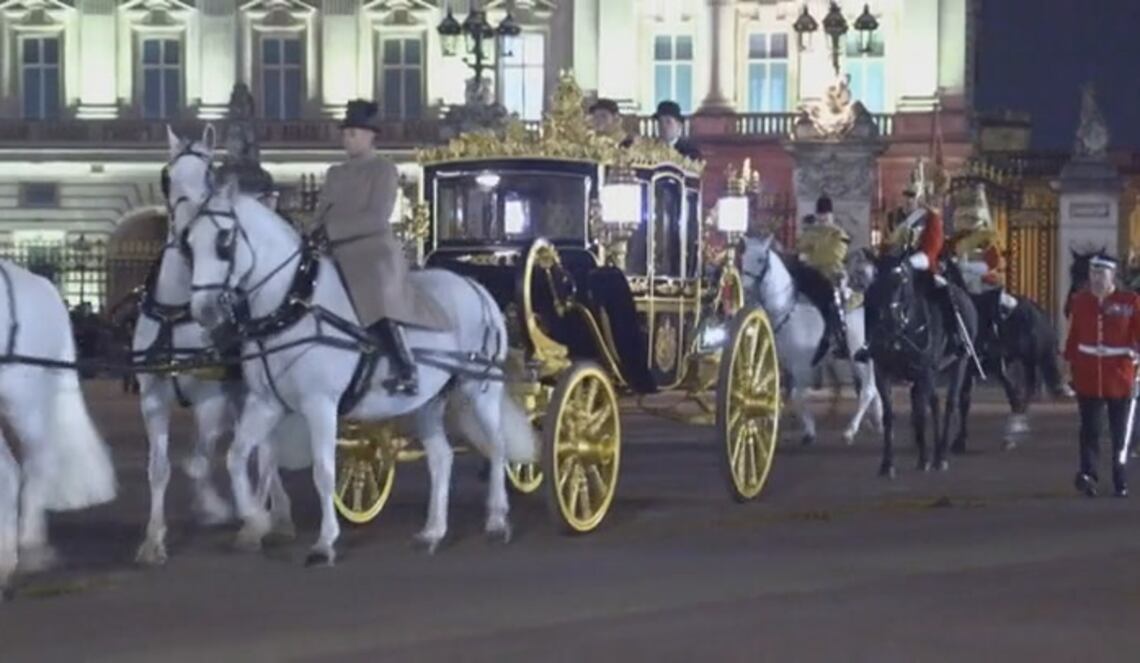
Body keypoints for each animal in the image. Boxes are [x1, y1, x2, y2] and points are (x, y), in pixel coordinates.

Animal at [131, 155, 293, 566]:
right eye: (167, 175)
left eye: (208, 172)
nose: (186, 226)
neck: (175, 312)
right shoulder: (152, 397)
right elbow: (160, 468)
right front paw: (153, 540)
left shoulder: (211, 399)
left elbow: (201, 460)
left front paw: (218, 508)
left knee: (266, 453)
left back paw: (269, 517)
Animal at [166, 132, 538, 565]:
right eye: (190, 243)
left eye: (224, 241)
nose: (204, 311)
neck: (293, 304)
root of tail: (475, 286)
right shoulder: (265, 403)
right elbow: (237, 458)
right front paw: (255, 521)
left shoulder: (320, 405)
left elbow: (323, 472)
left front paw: (325, 542)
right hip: (429, 399)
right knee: (441, 458)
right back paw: (432, 531)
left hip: (479, 387)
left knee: (496, 446)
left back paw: (496, 520)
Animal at [740, 235, 883, 446]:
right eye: (743, 258)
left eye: (760, 259)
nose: (745, 288)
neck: (787, 311)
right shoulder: (788, 366)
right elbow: (788, 394)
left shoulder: (803, 366)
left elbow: (797, 396)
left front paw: (809, 430)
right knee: (874, 390)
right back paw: (878, 421)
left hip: (860, 360)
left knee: (868, 391)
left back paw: (850, 431)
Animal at [863, 250, 979, 476]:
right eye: (875, 283)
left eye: (902, 281)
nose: (889, 322)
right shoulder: (883, 372)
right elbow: (890, 415)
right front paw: (887, 464)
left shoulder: (925, 371)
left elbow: (924, 413)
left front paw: (930, 460)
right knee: (927, 406)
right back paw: (929, 455)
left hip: (959, 364)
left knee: (949, 403)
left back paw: (941, 455)